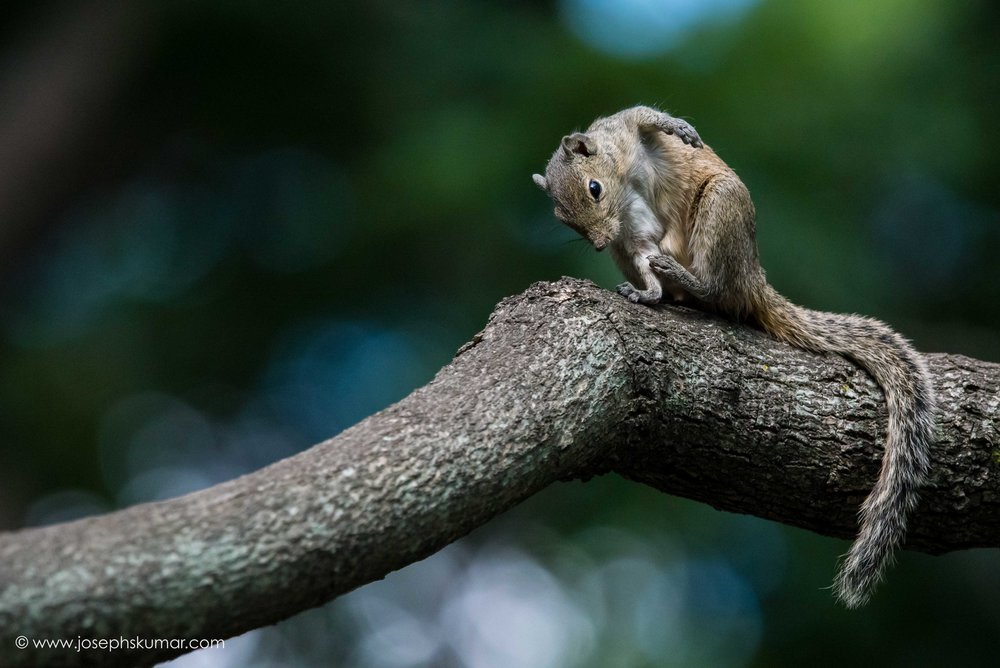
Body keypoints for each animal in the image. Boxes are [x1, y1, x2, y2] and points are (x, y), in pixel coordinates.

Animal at [536, 103, 932, 604]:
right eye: (564, 220)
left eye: (593, 188)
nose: (601, 242)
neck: (623, 183)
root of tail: (752, 278)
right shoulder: (634, 240)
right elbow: (642, 252)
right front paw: (646, 292)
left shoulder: (624, 129)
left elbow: (646, 116)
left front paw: (681, 130)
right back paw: (660, 288)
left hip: (721, 207)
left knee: (716, 286)